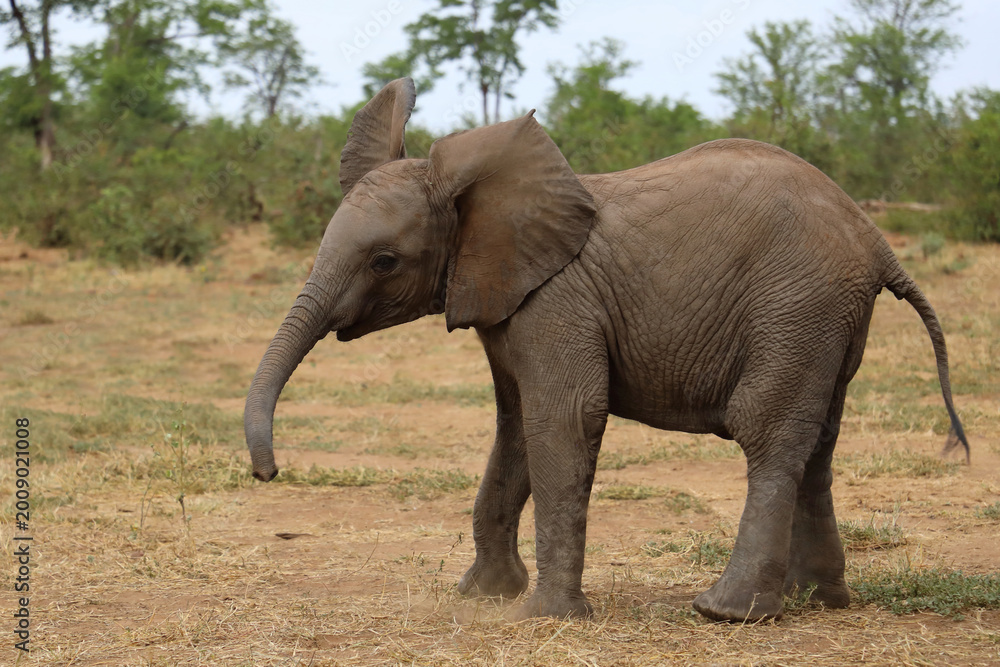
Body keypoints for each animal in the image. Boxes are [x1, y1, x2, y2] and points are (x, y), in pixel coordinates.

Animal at [244, 78, 969, 623]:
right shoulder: (507, 303)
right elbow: (515, 427)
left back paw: (725, 612)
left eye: (384, 261)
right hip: (825, 320)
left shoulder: (556, 302)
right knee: (818, 441)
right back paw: (815, 601)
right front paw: (482, 596)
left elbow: (562, 420)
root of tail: (875, 238)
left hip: (796, 307)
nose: (268, 473)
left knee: (768, 434)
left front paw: (543, 616)